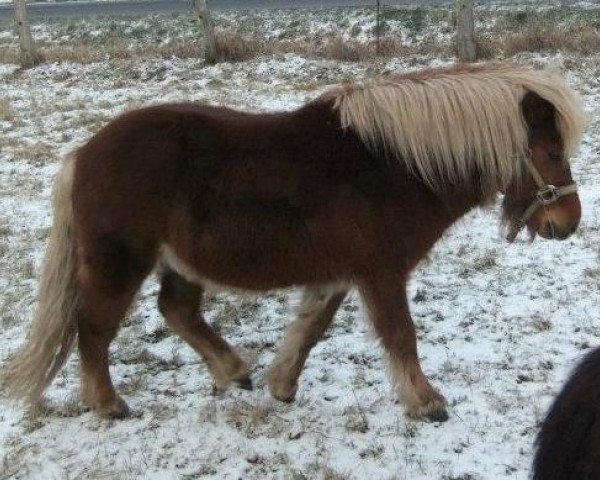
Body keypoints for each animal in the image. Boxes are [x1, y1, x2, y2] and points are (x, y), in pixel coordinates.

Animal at [0, 62, 584, 420]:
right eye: (553, 151)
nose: (569, 222)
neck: (392, 166)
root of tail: (84, 154)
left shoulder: (339, 274)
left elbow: (309, 328)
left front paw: (281, 385)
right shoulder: (381, 274)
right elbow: (400, 335)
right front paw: (425, 402)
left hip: (181, 262)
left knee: (177, 310)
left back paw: (234, 372)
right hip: (118, 261)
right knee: (94, 328)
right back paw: (108, 403)